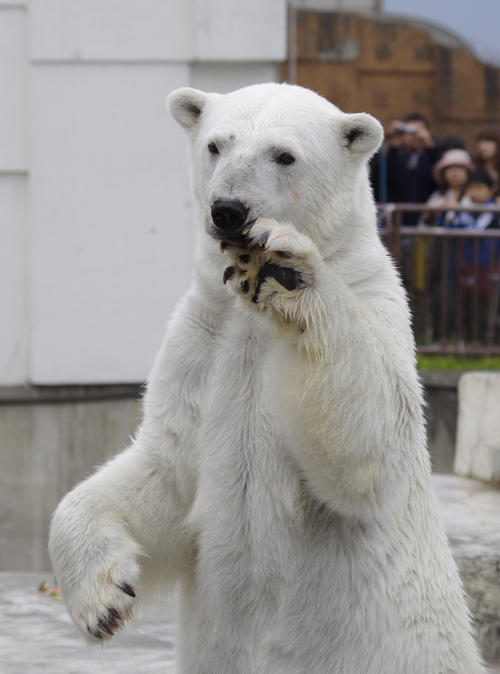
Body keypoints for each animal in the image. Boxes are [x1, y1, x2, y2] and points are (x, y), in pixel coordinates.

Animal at [47, 85, 484, 672]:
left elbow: (371, 449)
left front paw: (286, 268)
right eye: (216, 144)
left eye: (284, 154)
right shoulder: (204, 342)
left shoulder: (377, 304)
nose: (228, 210)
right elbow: (164, 469)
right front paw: (103, 602)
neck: (254, 320)